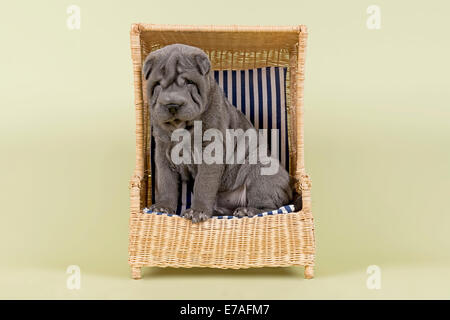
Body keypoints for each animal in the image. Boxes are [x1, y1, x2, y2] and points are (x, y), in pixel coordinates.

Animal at [142, 43, 300, 222]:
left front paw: (197, 212)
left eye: (189, 82)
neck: (181, 127)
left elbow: (203, 184)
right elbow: (165, 183)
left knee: (268, 207)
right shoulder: (163, 153)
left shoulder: (211, 151)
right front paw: (162, 207)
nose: (172, 104)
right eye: (158, 84)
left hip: (262, 168)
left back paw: (246, 211)